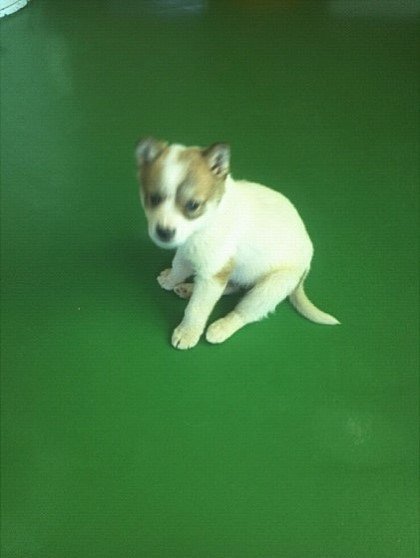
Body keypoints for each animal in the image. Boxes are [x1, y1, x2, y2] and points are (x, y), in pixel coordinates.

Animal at [135, 137, 339, 349]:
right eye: (154, 199)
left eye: (193, 205)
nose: (164, 233)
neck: (206, 221)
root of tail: (305, 271)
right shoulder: (188, 252)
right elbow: (179, 267)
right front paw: (170, 279)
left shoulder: (213, 274)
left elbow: (197, 308)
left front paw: (187, 332)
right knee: (234, 287)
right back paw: (188, 288)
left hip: (271, 286)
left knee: (245, 311)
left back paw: (221, 328)